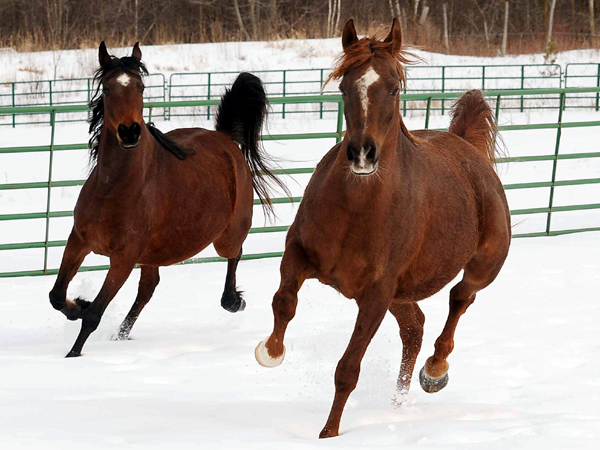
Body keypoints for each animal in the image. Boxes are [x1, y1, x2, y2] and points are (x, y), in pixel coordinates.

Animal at [47, 43, 286, 358]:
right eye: (108, 89)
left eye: (140, 87)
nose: (129, 132)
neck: (113, 188)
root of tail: (224, 138)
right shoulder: (79, 240)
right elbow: (57, 296)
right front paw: (79, 305)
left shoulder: (123, 258)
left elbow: (94, 315)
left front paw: (72, 355)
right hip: (152, 254)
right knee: (148, 288)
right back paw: (121, 336)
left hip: (226, 236)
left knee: (235, 254)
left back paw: (235, 301)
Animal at [254, 19, 510, 438]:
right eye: (344, 87)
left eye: (393, 88)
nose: (362, 154)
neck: (357, 210)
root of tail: (466, 148)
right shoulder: (298, 254)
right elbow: (284, 302)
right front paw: (270, 352)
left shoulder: (376, 294)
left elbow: (348, 369)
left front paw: (328, 434)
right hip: (400, 294)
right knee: (415, 327)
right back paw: (399, 401)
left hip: (482, 266)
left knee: (459, 299)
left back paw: (434, 372)